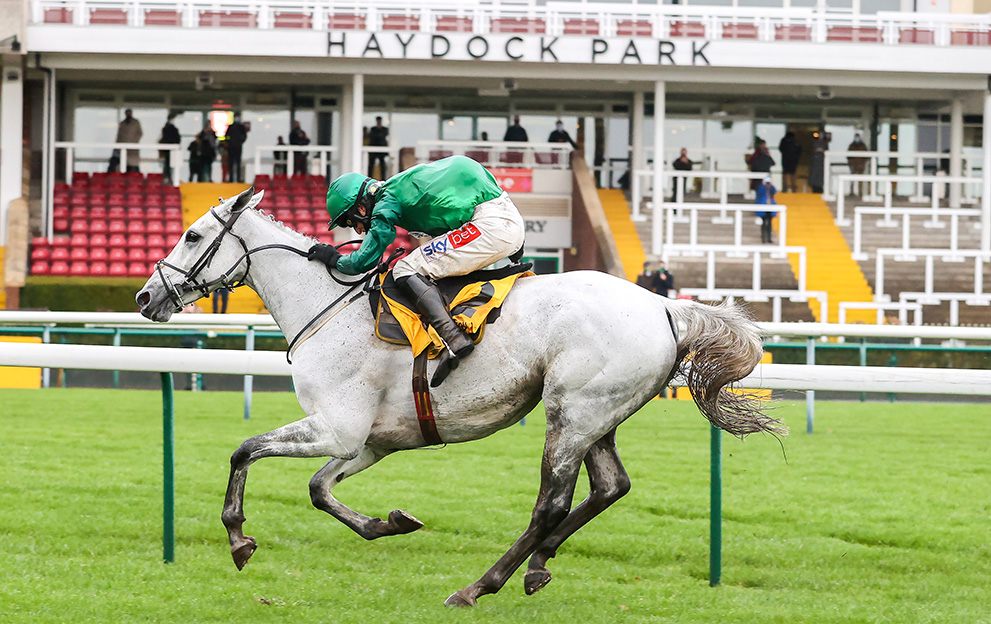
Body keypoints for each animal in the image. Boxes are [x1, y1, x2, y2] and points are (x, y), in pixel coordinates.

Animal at [135, 187, 784, 606]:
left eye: (192, 234)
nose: (145, 297)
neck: (327, 308)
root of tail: (664, 306)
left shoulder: (337, 426)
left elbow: (244, 450)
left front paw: (239, 537)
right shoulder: (370, 439)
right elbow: (320, 490)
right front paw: (390, 522)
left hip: (571, 412)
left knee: (551, 502)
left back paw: (480, 585)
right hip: (599, 413)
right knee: (609, 487)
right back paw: (538, 565)